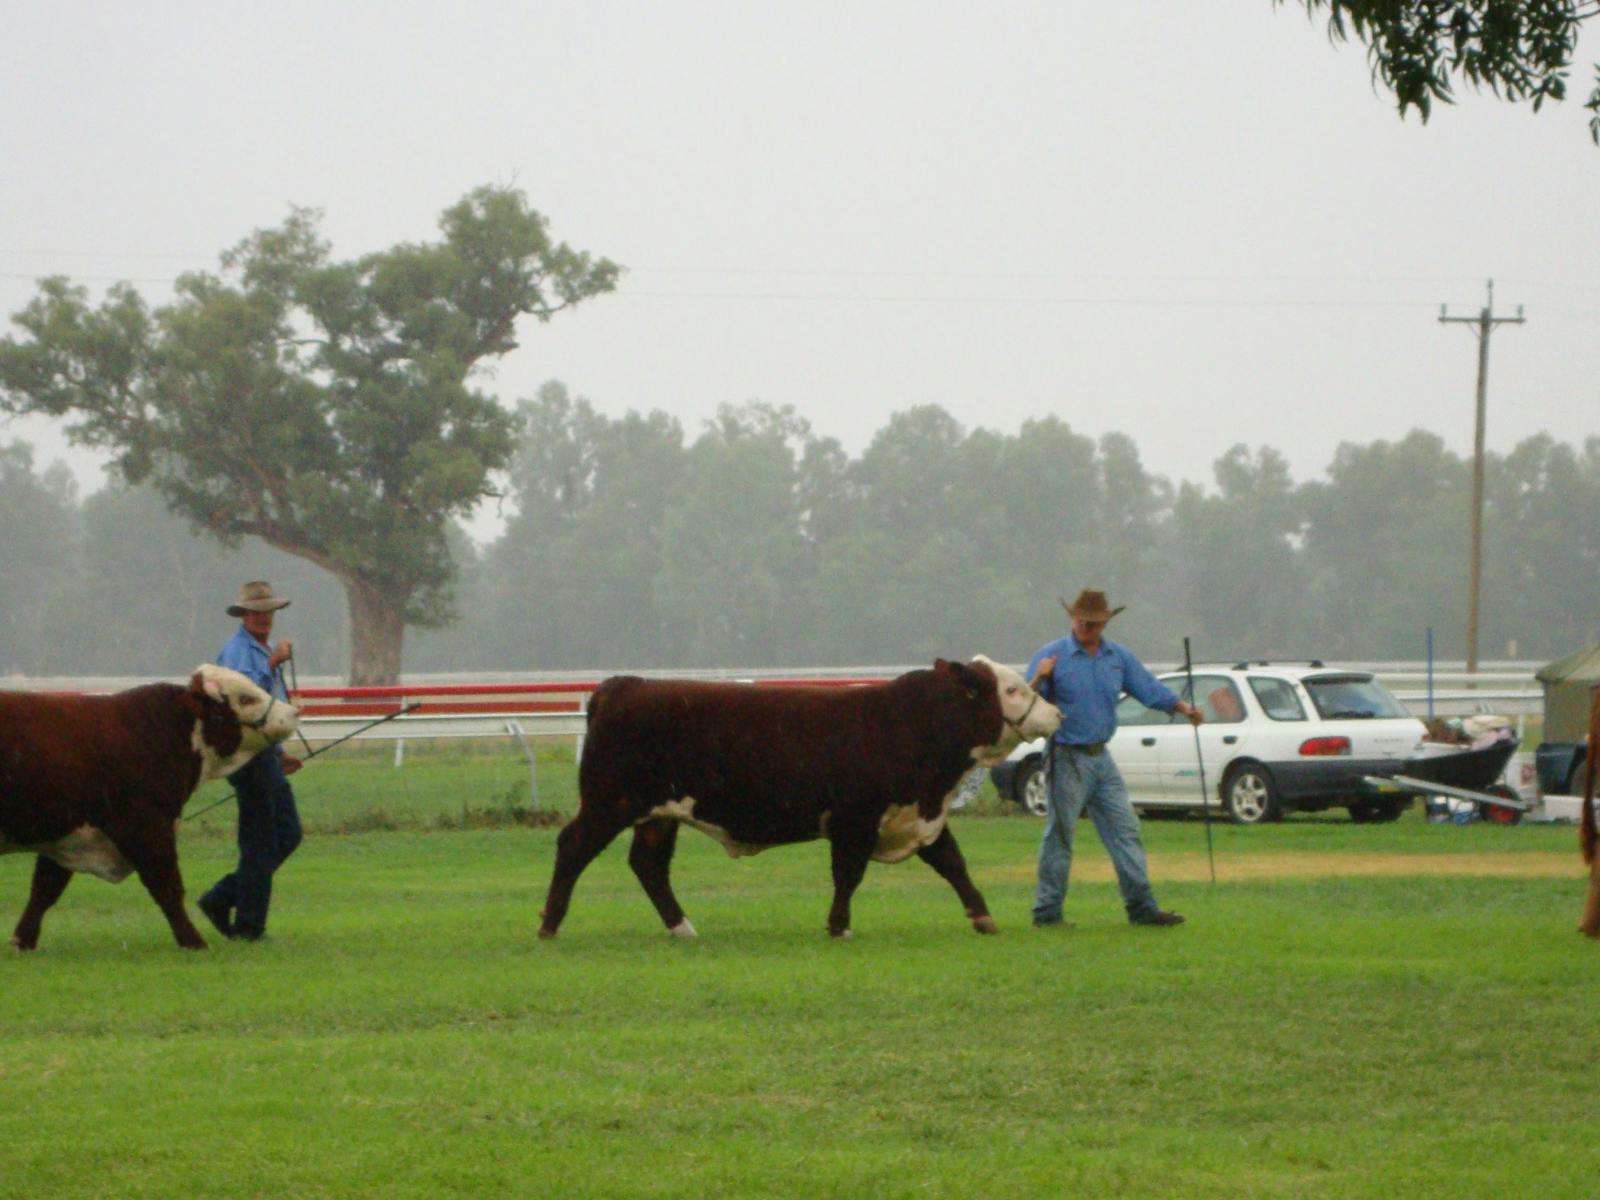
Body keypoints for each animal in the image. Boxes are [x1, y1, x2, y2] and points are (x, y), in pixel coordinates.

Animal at [0, 665, 299, 951]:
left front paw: (23, 940)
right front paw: (193, 941)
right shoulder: (147, 826)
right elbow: (167, 886)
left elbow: (45, 889)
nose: (294, 711)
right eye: (246, 698)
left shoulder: (72, 833)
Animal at [539, 656, 1062, 940]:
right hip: (609, 803)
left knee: (648, 866)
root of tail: (625, 685)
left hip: (658, 815)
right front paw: (839, 926)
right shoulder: (855, 820)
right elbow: (848, 875)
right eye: (1012, 689)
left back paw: (682, 927)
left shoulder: (919, 816)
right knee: (572, 847)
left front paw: (983, 917)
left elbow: (954, 864)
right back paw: (549, 925)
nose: (1056, 714)